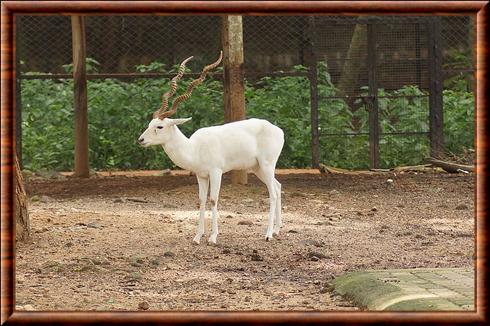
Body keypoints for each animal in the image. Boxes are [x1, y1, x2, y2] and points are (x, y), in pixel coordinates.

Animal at [138, 52, 284, 243]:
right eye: (150, 124)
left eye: (160, 127)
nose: (141, 140)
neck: (194, 148)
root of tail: (278, 130)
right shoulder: (201, 176)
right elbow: (201, 200)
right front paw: (197, 236)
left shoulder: (216, 172)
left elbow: (213, 199)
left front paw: (213, 237)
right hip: (257, 168)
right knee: (278, 187)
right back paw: (277, 229)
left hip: (267, 165)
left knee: (272, 193)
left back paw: (268, 235)